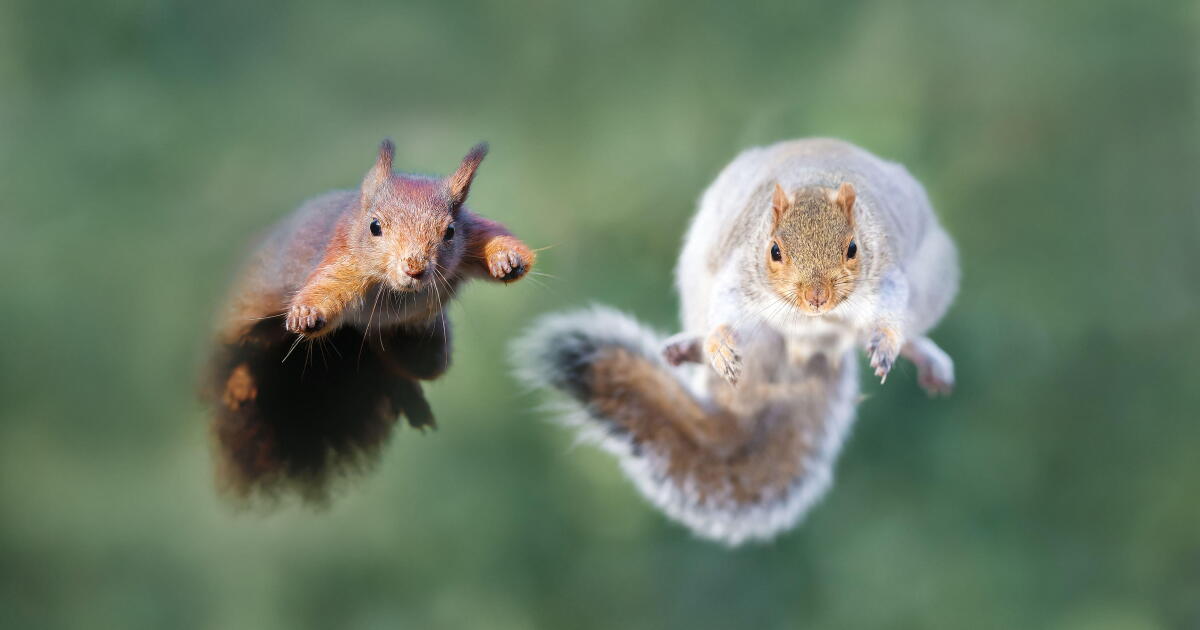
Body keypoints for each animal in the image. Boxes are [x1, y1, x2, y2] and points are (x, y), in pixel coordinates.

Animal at [204, 139, 534, 502]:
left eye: (449, 231)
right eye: (375, 227)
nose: (414, 267)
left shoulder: (473, 231)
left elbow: (495, 234)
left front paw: (507, 259)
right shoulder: (344, 260)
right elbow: (326, 288)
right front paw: (307, 314)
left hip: (420, 348)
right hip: (244, 313)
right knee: (239, 350)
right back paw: (238, 383)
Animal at [514, 138, 958, 545]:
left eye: (852, 249)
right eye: (774, 251)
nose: (817, 297)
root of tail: (806, 351)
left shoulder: (886, 277)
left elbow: (890, 313)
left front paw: (886, 344)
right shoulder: (739, 276)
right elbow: (727, 312)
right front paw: (720, 347)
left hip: (935, 277)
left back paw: (924, 354)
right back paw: (692, 347)